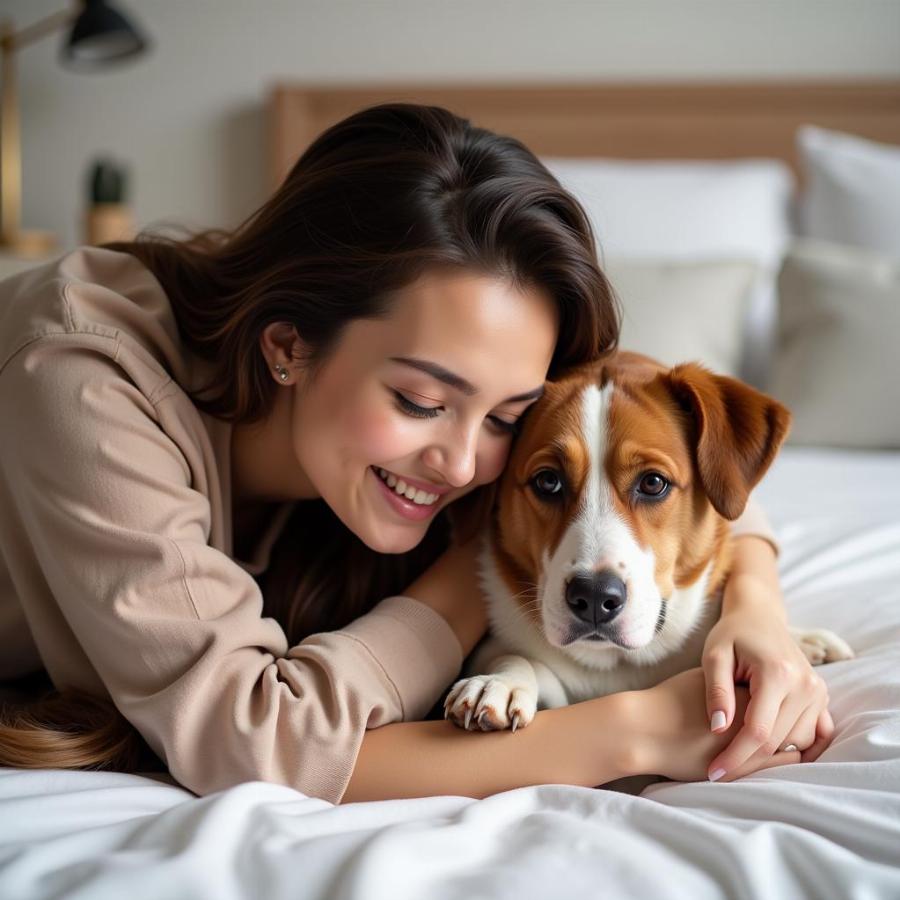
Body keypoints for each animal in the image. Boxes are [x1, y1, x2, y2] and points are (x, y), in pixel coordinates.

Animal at [446, 350, 856, 740]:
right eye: (548, 481)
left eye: (653, 483)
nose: (593, 596)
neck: (618, 664)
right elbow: (516, 659)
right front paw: (503, 680)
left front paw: (800, 639)